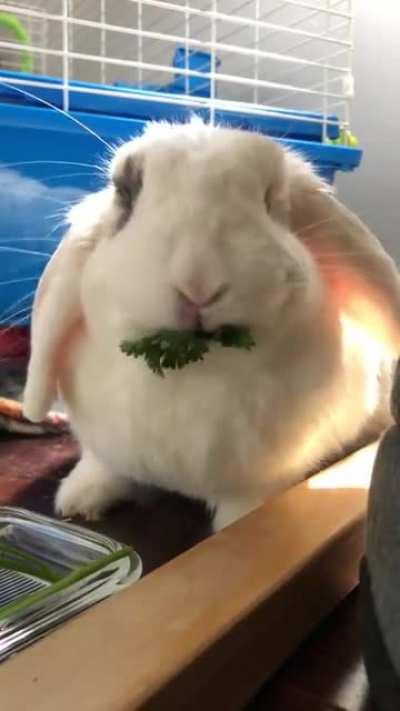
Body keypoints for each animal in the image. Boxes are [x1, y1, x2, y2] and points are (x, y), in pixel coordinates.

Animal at [23, 119, 400, 531]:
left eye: (269, 199)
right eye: (125, 193)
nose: (198, 283)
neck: (193, 372)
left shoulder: (256, 482)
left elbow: (242, 514)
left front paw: (244, 528)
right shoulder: (107, 449)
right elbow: (104, 468)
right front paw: (77, 503)